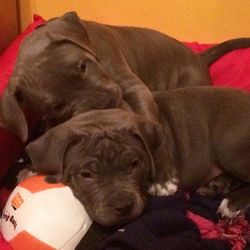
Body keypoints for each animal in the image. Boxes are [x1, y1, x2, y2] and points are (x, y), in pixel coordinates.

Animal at [24, 87, 250, 226]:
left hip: (229, 145)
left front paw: (162, 181)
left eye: (134, 164)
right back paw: (217, 185)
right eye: (86, 174)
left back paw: (232, 203)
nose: (123, 207)